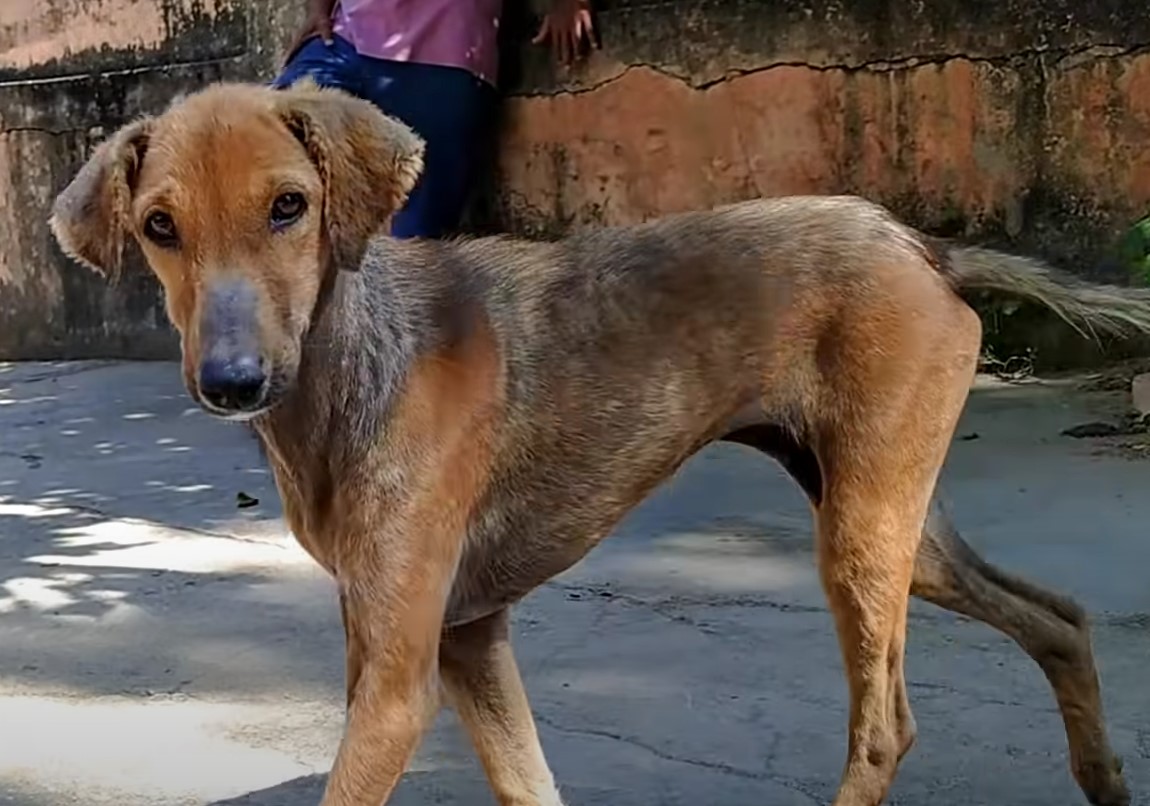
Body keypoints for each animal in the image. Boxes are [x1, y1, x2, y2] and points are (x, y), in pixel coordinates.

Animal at [47, 77, 1140, 804]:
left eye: (290, 206)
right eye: (159, 226)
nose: (232, 383)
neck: (352, 358)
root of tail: (922, 243)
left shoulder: (398, 684)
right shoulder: (465, 637)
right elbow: (530, 781)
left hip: (861, 536)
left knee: (886, 728)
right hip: (891, 515)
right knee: (1057, 615)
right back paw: (1104, 778)